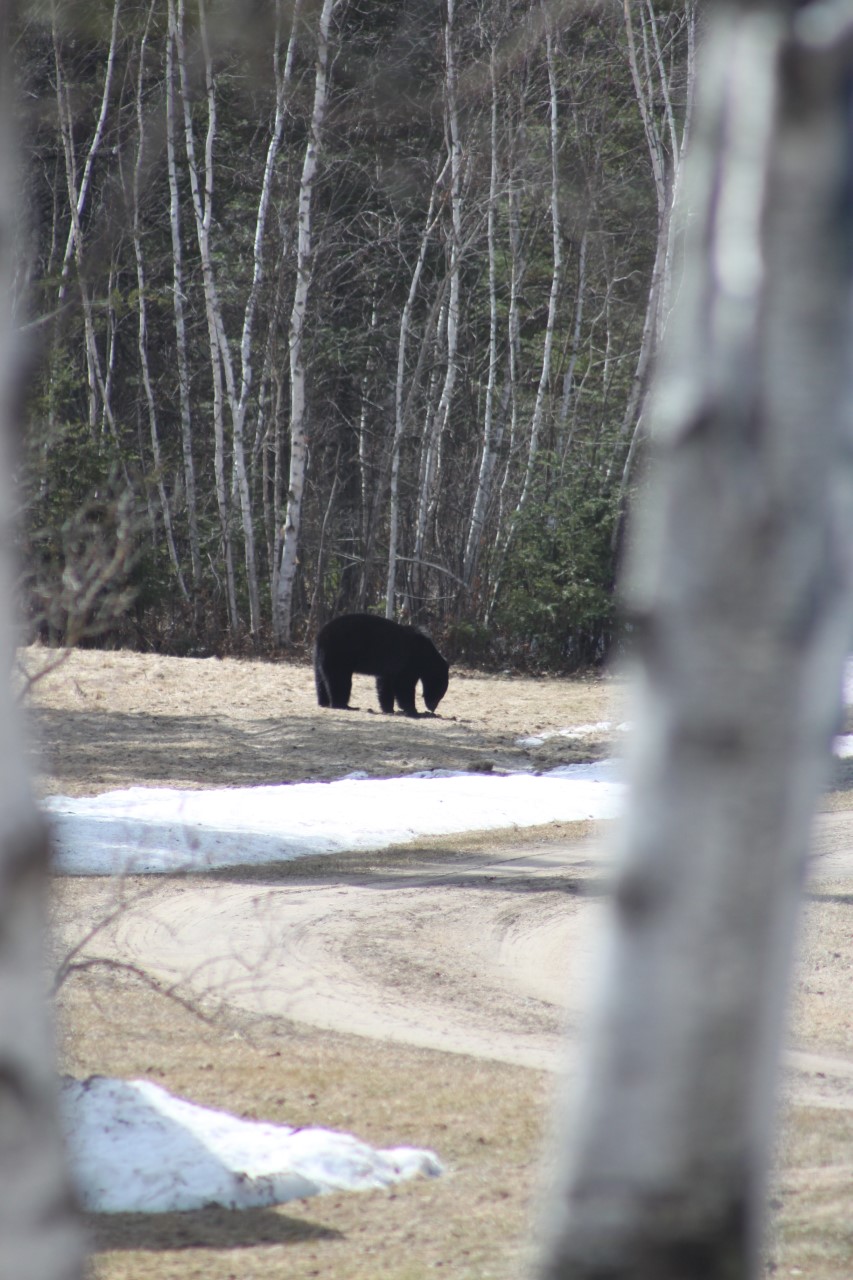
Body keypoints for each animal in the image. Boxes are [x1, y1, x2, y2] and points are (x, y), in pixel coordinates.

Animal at [314, 613, 449, 717]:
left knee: (321, 678)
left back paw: (324, 702)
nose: (432, 708)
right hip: (340, 653)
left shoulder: (391, 668)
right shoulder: (408, 663)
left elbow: (385, 684)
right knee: (339, 679)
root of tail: (321, 635)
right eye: (439, 693)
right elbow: (404, 685)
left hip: (321, 657)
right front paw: (413, 711)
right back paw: (344, 704)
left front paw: (389, 708)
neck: (425, 655)